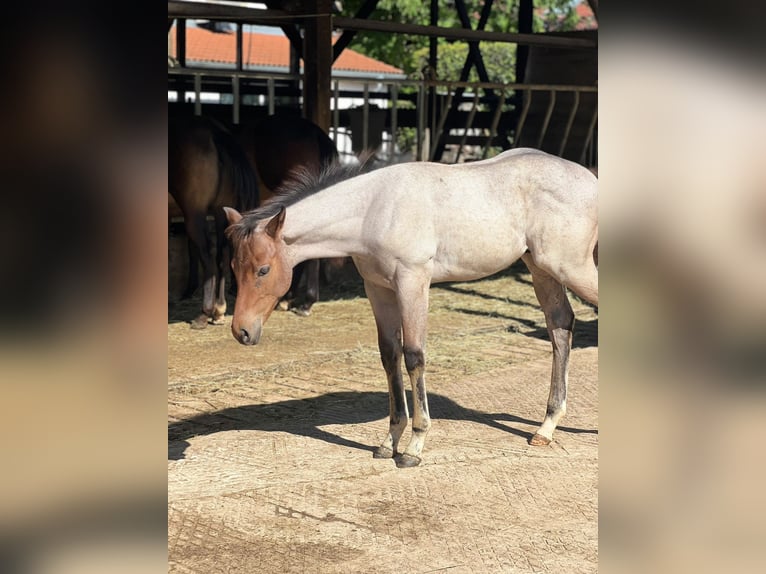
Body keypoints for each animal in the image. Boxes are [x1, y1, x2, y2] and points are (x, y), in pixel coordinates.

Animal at [168, 115, 259, 329]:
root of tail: (213, 131)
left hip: (195, 213)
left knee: (207, 252)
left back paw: (205, 313)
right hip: (220, 211)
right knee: (222, 252)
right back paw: (218, 310)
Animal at [223, 148, 598, 468]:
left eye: (263, 270)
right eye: (233, 268)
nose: (242, 331)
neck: (374, 210)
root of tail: (589, 178)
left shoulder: (412, 282)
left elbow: (414, 356)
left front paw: (414, 446)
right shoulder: (378, 289)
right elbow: (390, 356)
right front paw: (389, 441)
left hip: (571, 269)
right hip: (541, 269)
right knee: (560, 326)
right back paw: (545, 428)